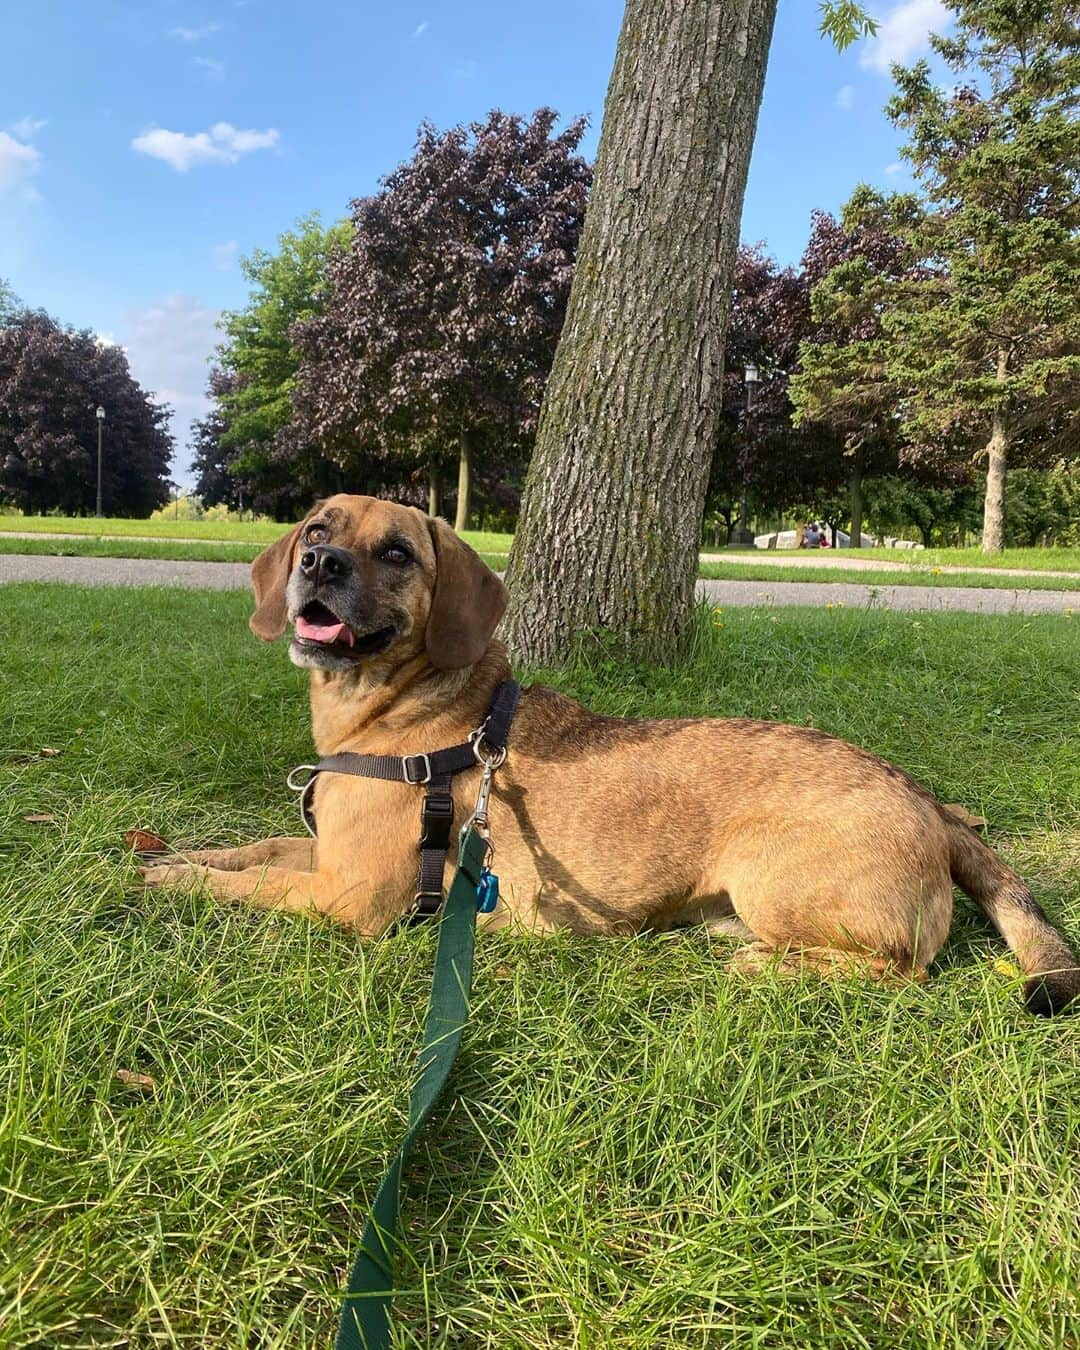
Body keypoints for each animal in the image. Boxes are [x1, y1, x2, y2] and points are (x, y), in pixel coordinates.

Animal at [143, 496, 1080, 1015]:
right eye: (316, 526)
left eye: (399, 553)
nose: (318, 562)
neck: (396, 709)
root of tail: (928, 804)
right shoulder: (327, 854)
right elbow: (258, 849)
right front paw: (178, 854)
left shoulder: (351, 898)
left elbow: (253, 886)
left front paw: (177, 880)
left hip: (775, 879)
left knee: (900, 971)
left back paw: (765, 965)